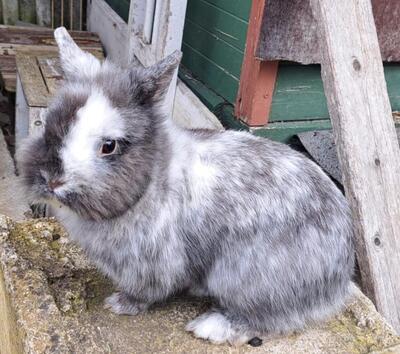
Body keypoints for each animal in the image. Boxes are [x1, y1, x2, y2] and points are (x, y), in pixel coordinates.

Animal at [16, 27, 354, 346]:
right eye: (49, 125)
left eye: (108, 146)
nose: (52, 180)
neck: (153, 180)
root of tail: (339, 276)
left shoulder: (152, 264)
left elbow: (145, 292)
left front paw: (119, 304)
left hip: (249, 278)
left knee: (270, 319)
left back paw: (211, 327)